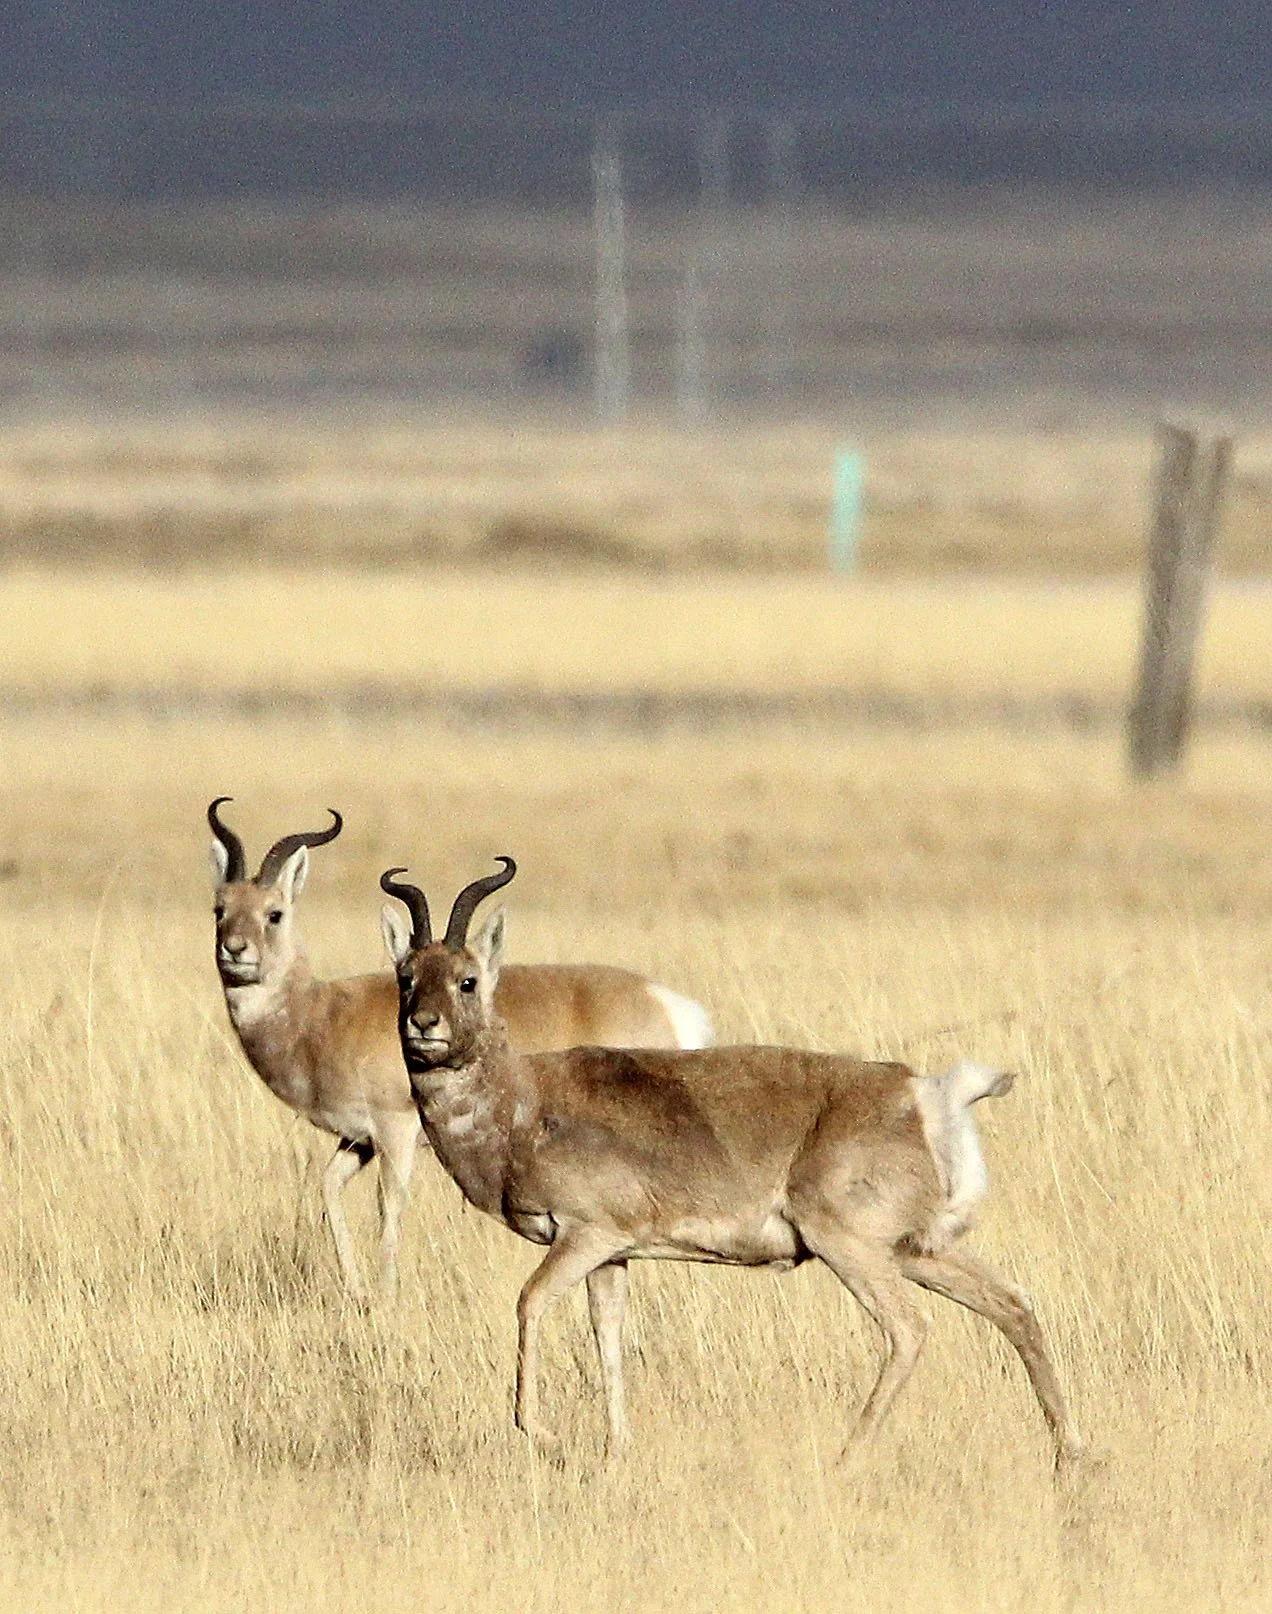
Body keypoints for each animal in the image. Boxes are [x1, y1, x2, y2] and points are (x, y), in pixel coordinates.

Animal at [207, 799, 712, 1304]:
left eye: (274, 913)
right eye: (220, 909)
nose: (235, 950)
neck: (323, 1013)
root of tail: (671, 1004)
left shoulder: (394, 1132)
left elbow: (388, 1206)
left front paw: (386, 1296)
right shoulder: (358, 1140)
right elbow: (329, 1187)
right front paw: (356, 1290)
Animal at [380, 857, 1083, 1470]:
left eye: (468, 978)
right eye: (406, 975)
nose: (423, 1026)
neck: (526, 1101)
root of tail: (921, 1092)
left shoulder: (587, 1236)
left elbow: (529, 1302)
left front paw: (543, 1432)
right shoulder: (612, 1257)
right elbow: (608, 1339)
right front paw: (616, 1450)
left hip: (853, 1250)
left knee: (909, 1329)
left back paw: (845, 1458)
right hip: (917, 1251)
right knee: (1013, 1303)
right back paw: (1070, 1452)